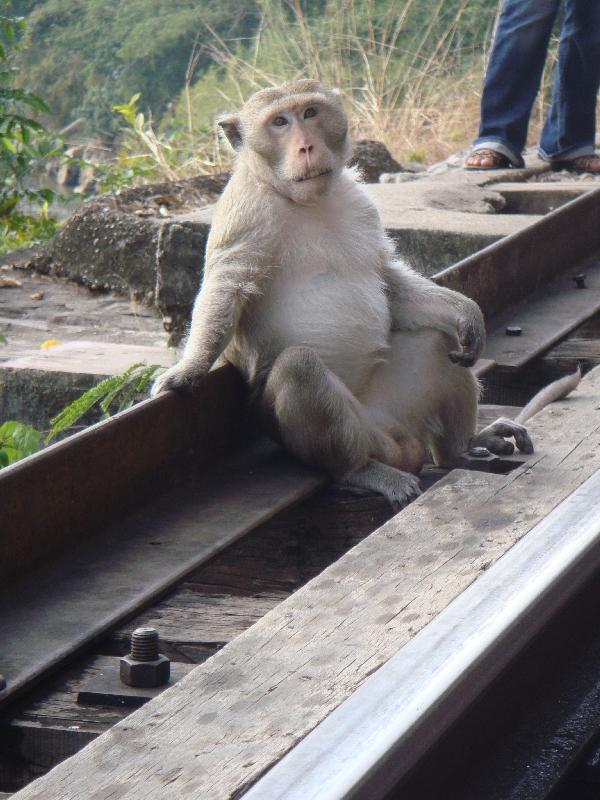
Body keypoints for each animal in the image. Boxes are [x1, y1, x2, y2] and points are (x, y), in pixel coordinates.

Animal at [150, 78, 568, 510]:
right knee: (300, 367)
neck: (306, 201)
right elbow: (227, 286)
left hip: (400, 408)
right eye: (279, 122)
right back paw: (360, 471)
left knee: (438, 341)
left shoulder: (361, 204)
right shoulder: (246, 212)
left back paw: (461, 449)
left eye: (309, 114)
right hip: (355, 432)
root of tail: (397, 440)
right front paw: (187, 370)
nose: (306, 147)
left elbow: (387, 280)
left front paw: (465, 311)